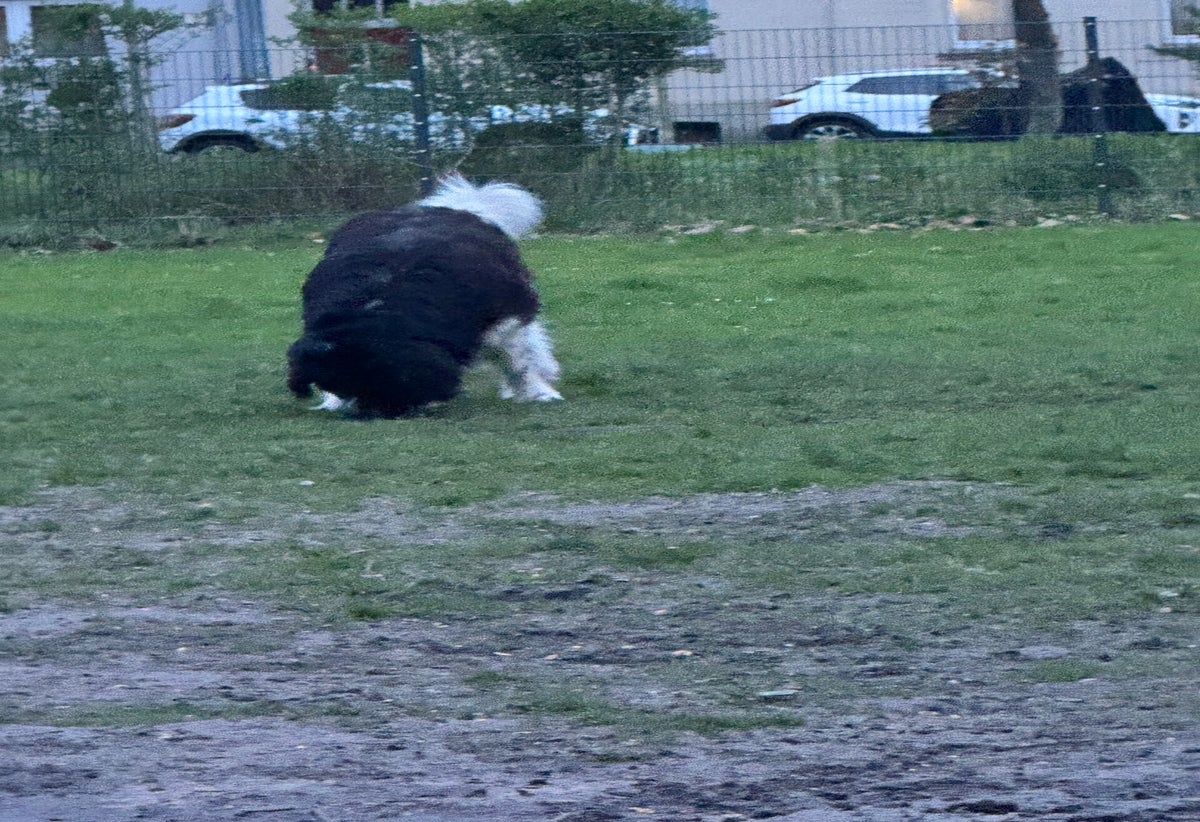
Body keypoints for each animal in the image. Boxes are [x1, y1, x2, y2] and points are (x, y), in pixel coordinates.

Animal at [286, 174, 562, 418]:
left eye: (382, 382)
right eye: (340, 385)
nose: (366, 413)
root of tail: (456, 208)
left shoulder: (504, 317)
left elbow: (519, 361)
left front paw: (538, 392)